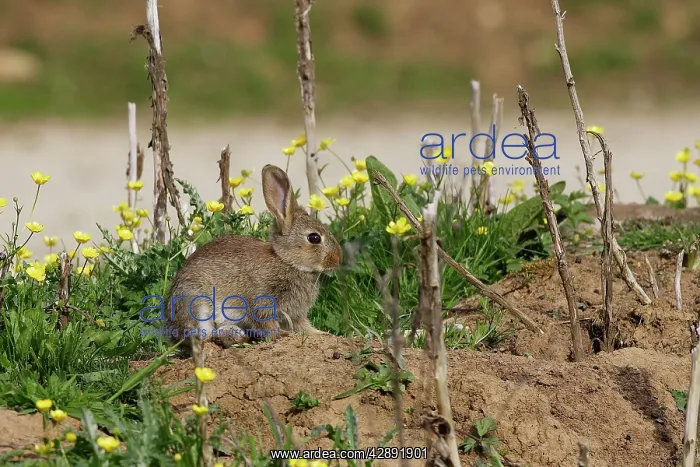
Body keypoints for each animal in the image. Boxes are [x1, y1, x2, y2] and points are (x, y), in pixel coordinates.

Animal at [165, 164, 343, 353]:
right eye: (314, 238)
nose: (338, 259)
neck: (285, 260)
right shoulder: (262, 302)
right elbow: (266, 324)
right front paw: (283, 335)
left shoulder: (295, 315)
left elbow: (303, 327)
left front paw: (323, 334)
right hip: (197, 305)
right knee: (204, 337)